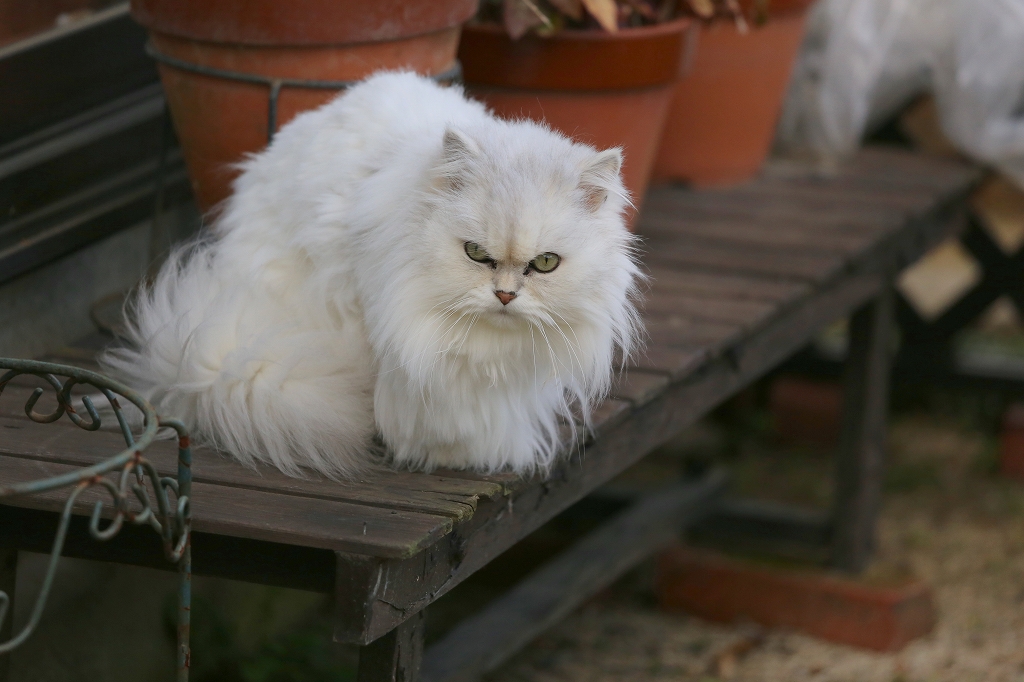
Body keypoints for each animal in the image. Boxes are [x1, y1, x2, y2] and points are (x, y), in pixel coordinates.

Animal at [108, 69, 643, 473]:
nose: (506, 296)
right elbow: (441, 414)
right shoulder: (412, 345)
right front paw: (456, 456)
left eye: (545, 264)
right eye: (475, 253)